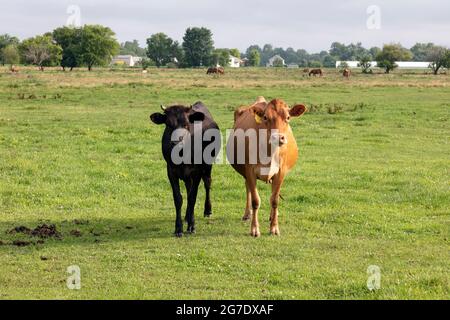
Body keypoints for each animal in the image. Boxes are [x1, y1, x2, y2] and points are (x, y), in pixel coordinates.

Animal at [150, 102, 221, 238]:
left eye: (186, 124)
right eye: (168, 124)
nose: (177, 142)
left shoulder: (197, 172)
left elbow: (192, 197)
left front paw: (192, 226)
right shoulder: (171, 171)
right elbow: (178, 198)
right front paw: (179, 228)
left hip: (208, 165)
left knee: (207, 183)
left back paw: (207, 210)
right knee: (189, 189)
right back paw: (187, 216)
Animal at [227, 96, 308, 236]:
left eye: (288, 117)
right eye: (265, 117)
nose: (279, 138)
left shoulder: (280, 172)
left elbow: (274, 200)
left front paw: (274, 228)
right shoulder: (250, 171)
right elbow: (255, 201)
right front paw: (254, 229)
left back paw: (272, 215)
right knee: (248, 188)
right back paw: (247, 214)